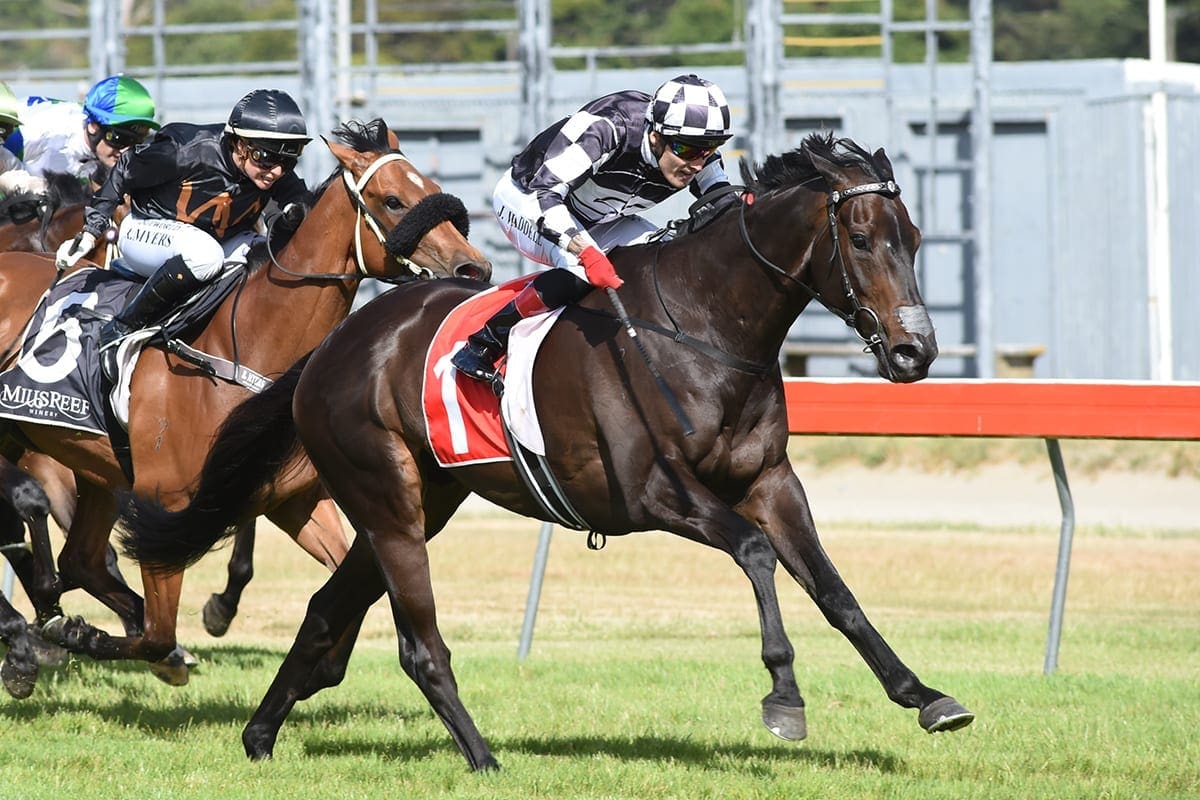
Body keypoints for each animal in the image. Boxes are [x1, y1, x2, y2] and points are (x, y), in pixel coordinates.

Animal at [0, 118, 489, 690]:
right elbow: (157, 634)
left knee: (82, 559)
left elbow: (346, 590)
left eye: (432, 190)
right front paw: (81, 635)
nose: (475, 268)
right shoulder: (165, 501)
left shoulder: (294, 502)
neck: (242, 346)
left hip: (90, 465)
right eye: (393, 200)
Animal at [117, 133, 969, 767]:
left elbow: (834, 590)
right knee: (418, 644)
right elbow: (757, 554)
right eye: (860, 238)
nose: (914, 352)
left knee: (328, 608)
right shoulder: (647, 493)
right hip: (386, 497)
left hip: (422, 499)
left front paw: (925, 696)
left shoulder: (770, 481)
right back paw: (482, 757)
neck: (701, 326)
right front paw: (784, 698)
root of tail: (331, 349)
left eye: (915, 239)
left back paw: (260, 736)